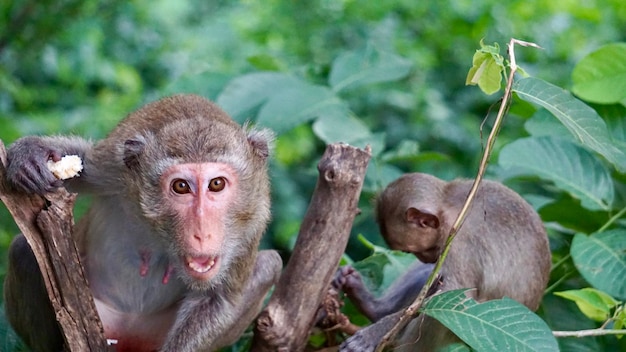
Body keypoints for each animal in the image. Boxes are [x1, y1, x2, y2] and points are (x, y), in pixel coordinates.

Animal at [2, 94, 280, 352]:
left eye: (217, 184)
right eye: (181, 186)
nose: (202, 233)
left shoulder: (253, 218)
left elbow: (219, 299)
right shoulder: (115, 165)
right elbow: (83, 164)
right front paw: (30, 154)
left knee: (270, 264)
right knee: (23, 250)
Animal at [334, 173, 548, 352]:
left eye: (410, 251)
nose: (427, 258)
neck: (450, 208)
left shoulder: (458, 241)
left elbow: (455, 294)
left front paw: (373, 334)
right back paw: (374, 307)